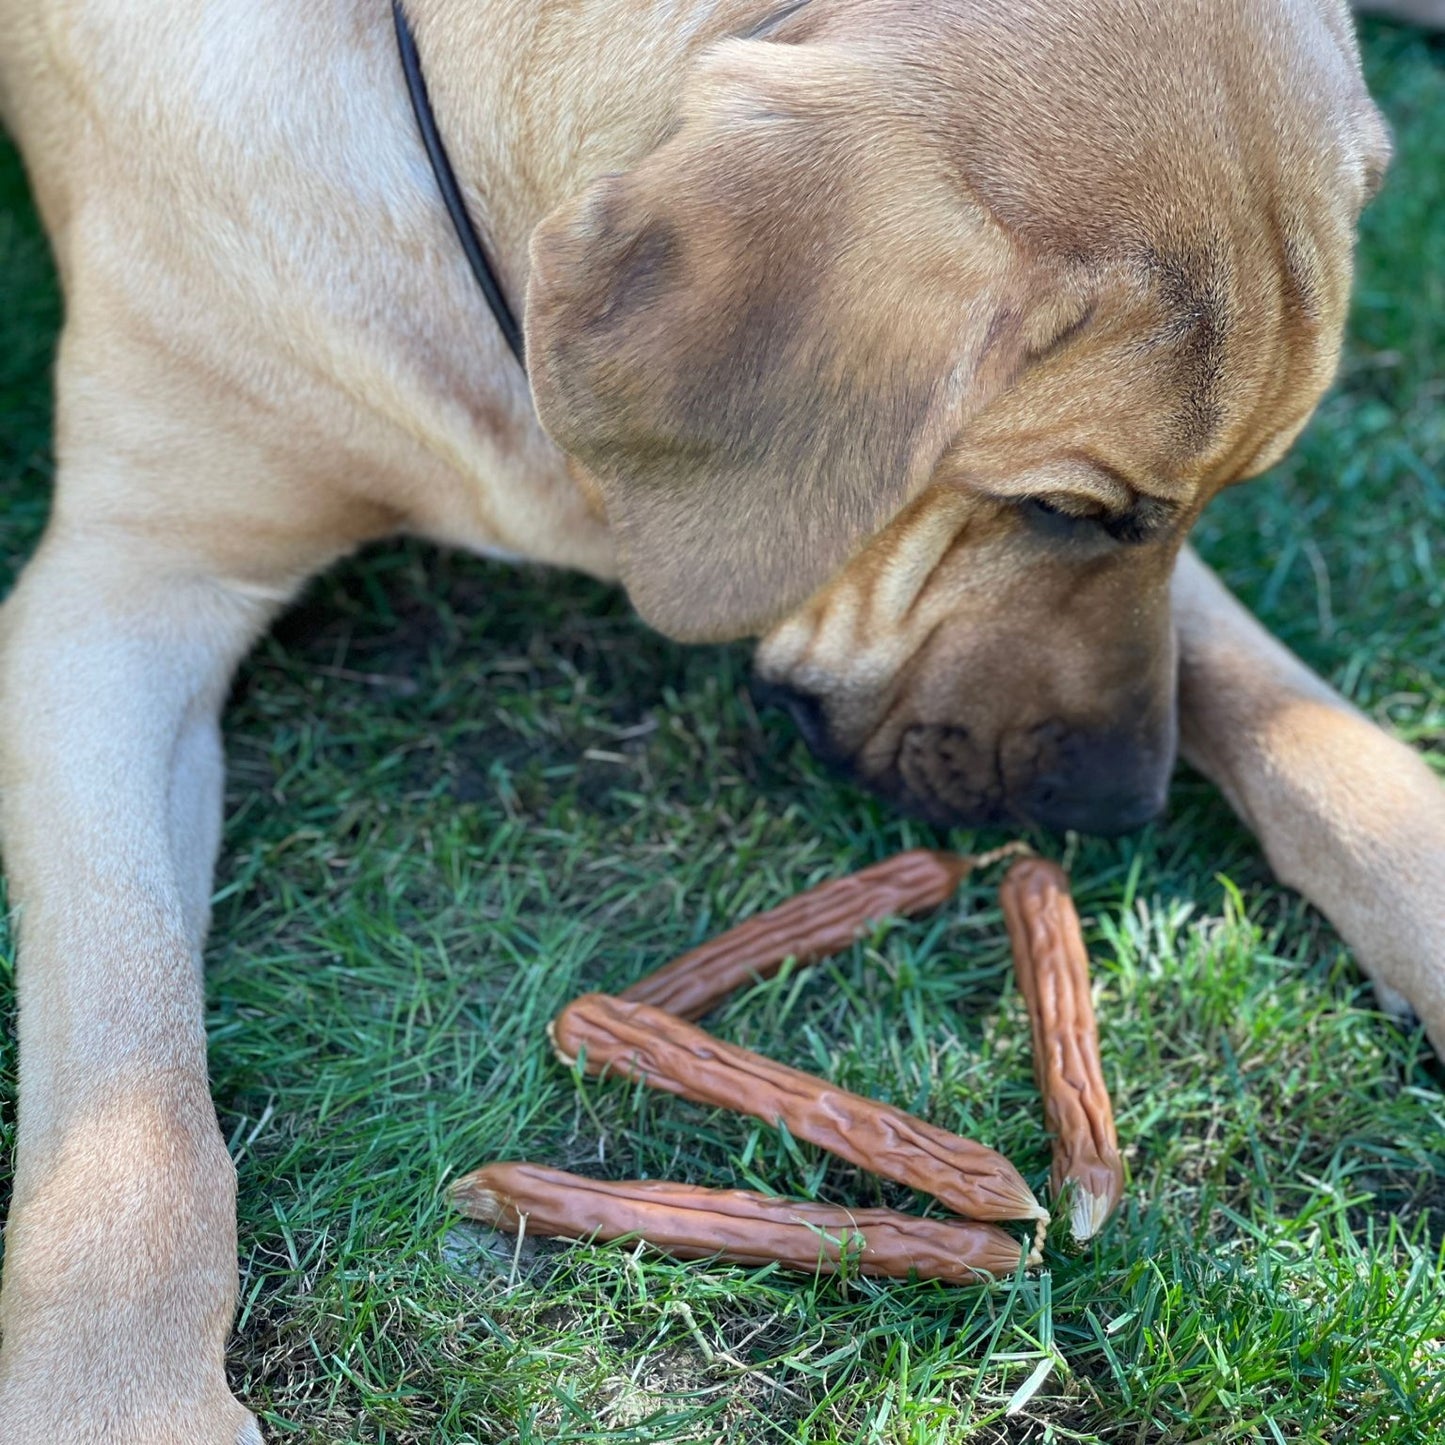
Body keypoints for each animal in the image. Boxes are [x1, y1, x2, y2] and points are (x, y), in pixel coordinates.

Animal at [0, 0, 1439, 1439]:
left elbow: (1294, 715)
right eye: (1065, 510)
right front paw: (115, 1392)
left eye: (1203, 503)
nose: (1119, 808)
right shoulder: (120, 597)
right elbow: (128, 1080)